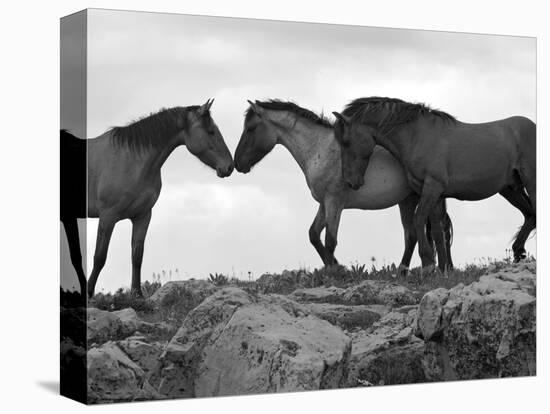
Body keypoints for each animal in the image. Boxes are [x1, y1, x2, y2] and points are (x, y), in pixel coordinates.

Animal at [61, 100, 235, 298]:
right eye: (211, 131)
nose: (229, 166)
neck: (132, 161)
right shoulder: (108, 216)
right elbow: (99, 256)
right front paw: (89, 293)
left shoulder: (143, 216)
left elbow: (137, 255)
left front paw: (137, 294)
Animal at [235, 98, 454, 274]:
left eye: (250, 128)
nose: (237, 163)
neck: (319, 149)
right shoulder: (324, 203)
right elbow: (314, 235)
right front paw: (335, 266)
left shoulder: (334, 201)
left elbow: (330, 240)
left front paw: (334, 271)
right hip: (410, 200)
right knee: (418, 234)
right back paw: (409, 270)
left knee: (431, 231)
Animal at [334, 95, 536, 274]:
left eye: (346, 142)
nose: (350, 181)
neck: (417, 136)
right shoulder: (435, 194)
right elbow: (438, 231)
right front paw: (442, 269)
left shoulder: (432, 187)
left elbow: (419, 220)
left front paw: (428, 263)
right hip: (510, 189)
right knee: (530, 215)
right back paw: (518, 252)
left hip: (530, 182)